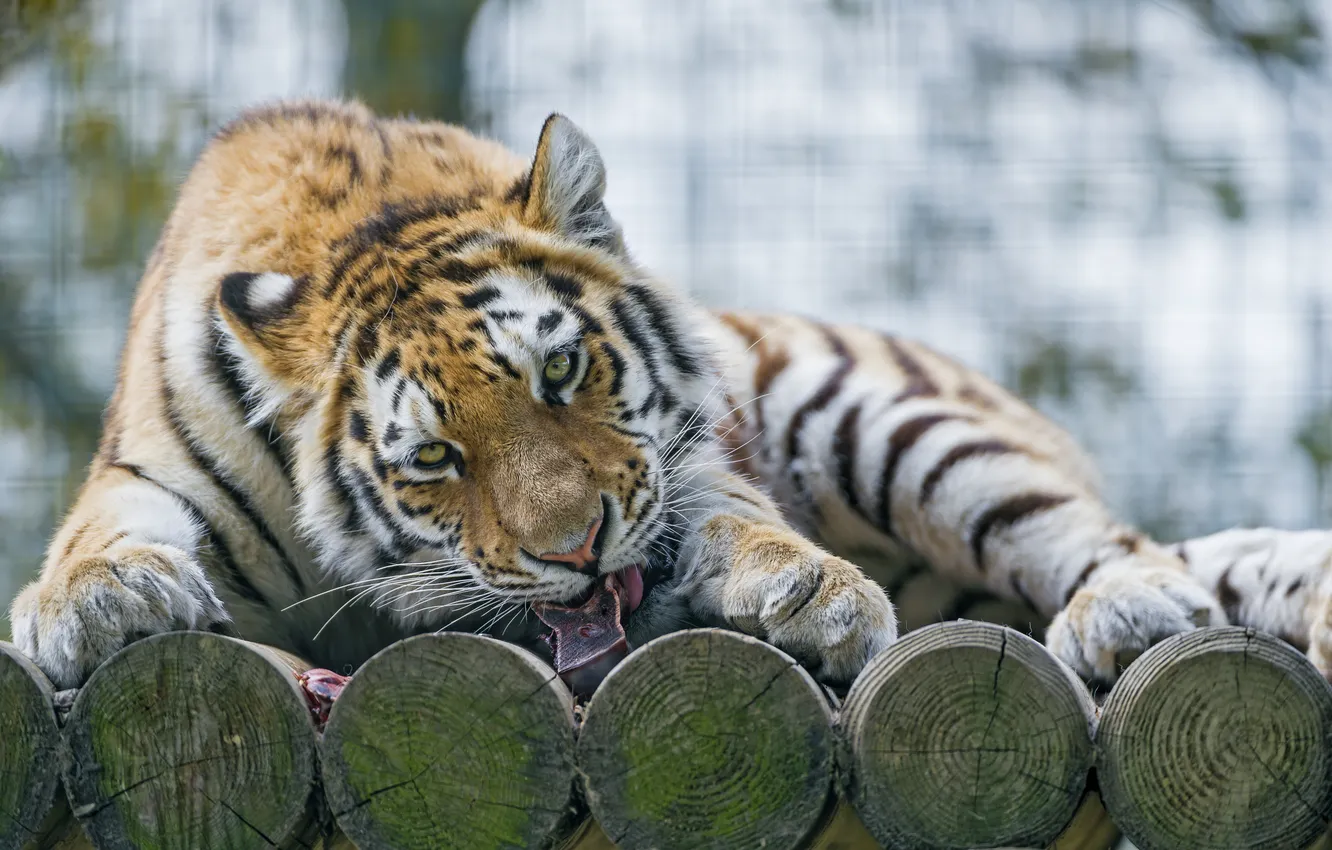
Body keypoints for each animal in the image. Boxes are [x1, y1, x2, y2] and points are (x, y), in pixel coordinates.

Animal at [7, 98, 1323, 694]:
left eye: (559, 370)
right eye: (433, 459)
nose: (577, 552)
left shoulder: (696, 462)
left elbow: (730, 510)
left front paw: (807, 594)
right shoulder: (142, 467)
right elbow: (100, 538)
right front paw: (107, 596)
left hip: (885, 415)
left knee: (1117, 544)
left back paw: (1125, 611)